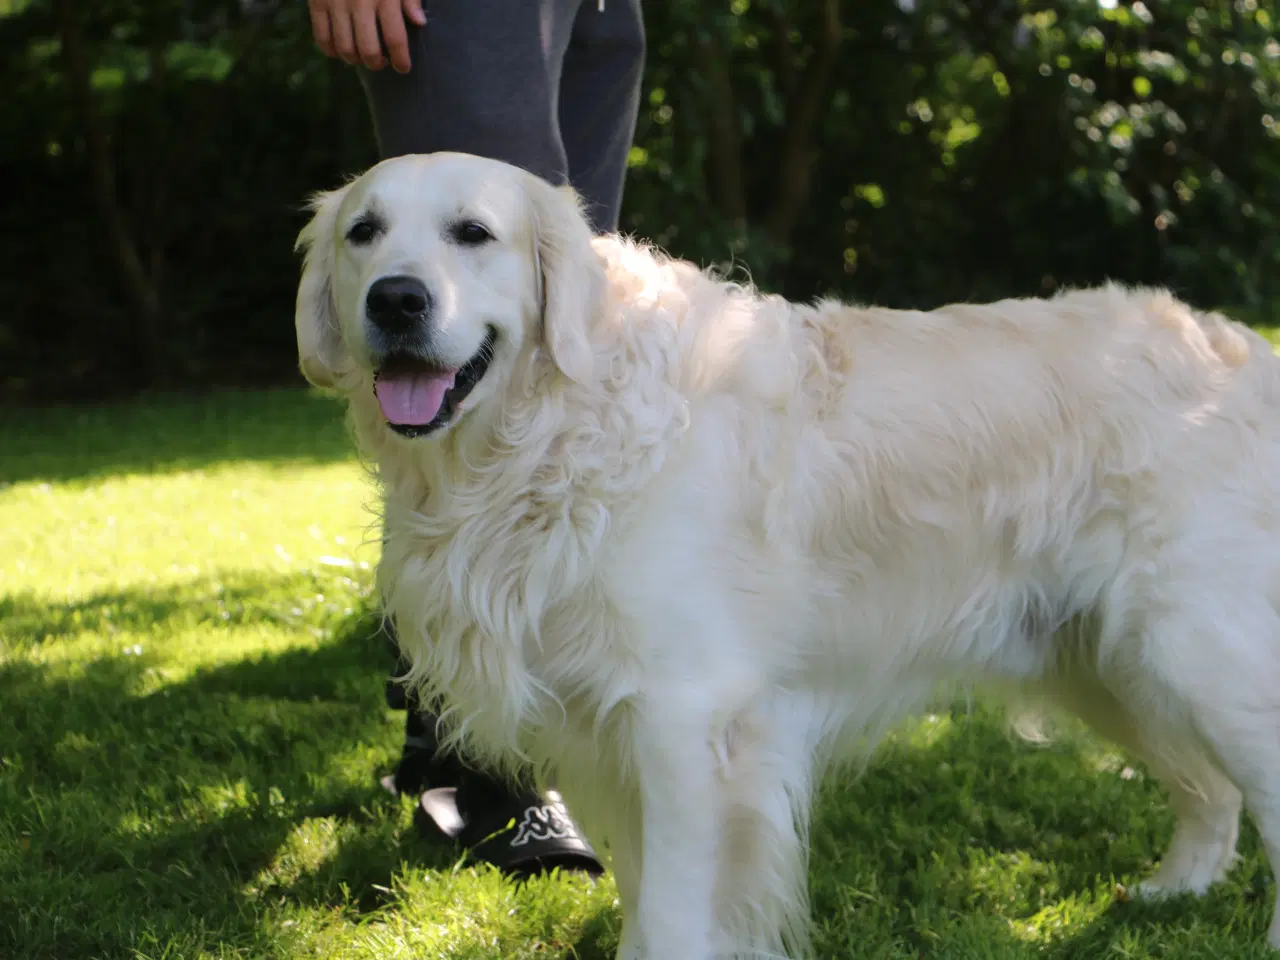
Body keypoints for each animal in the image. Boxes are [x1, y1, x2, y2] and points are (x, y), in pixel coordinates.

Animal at [294, 154, 1280, 957]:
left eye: (473, 233)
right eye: (363, 232)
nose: (396, 300)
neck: (551, 434)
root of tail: (1243, 345)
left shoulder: (683, 717)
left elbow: (674, 914)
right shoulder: (603, 728)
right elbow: (648, 895)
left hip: (1196, 650)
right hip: (1112, 662)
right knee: (1214, 795)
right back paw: (1175, 890)